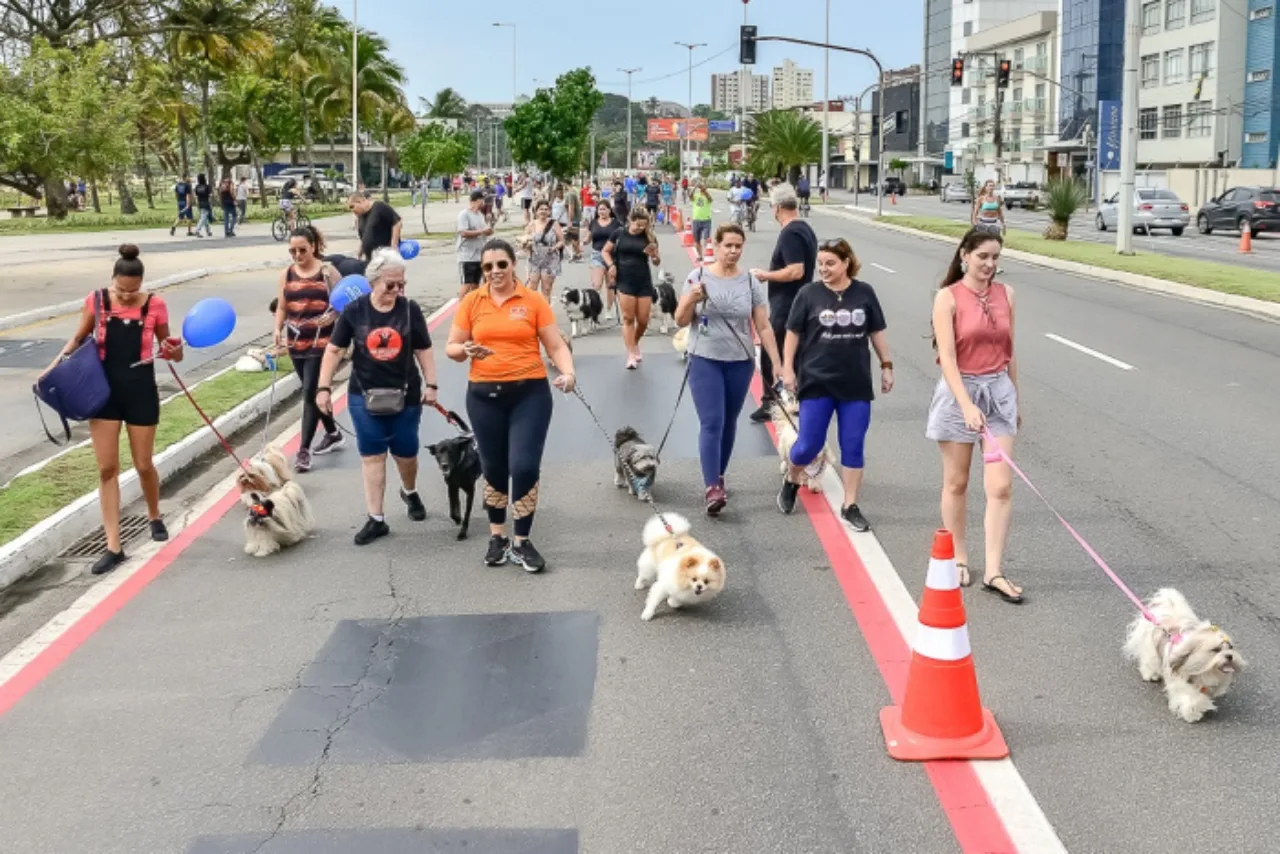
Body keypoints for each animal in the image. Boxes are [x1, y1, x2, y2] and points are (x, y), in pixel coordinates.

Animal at [424, 409, 481, 537]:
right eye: (438, 453)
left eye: (451, 452)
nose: (444, 465)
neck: (458, 468)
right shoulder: (452, 487)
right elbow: (453, 508)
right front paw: (457, 518)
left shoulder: (470, 491)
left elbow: (467, 513)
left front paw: (463, 532)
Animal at [1126, 591, 1244, 727]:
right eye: (1216, 649)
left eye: (1230, 647)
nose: (1230, 656)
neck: (1205, 672)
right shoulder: (1180, 682)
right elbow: (1190, 697)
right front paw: (1192, 712)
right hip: (1151, 651)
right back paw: (1151, 675)